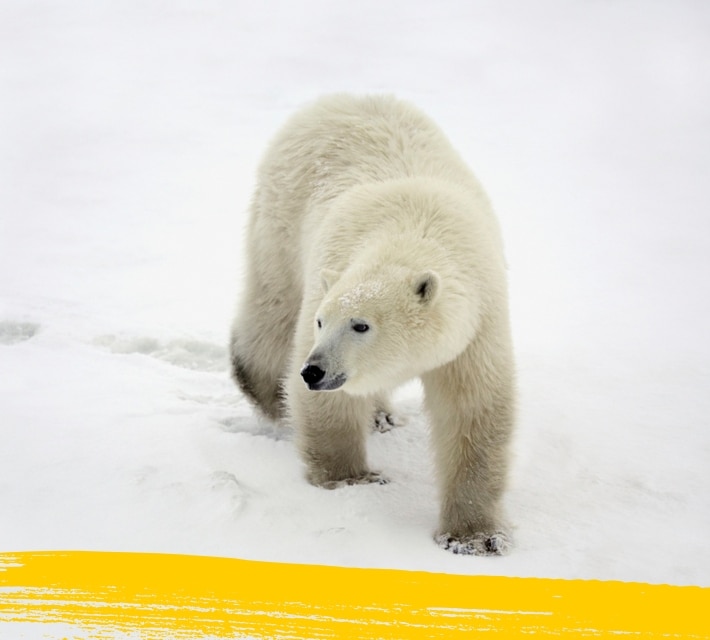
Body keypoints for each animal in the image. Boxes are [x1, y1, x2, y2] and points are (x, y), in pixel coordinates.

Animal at [234, 95, 516, 556]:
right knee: (272, 309)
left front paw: (474, 538)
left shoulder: (477, 324)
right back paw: (268, 392)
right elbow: (329, 406)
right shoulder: (329, 274)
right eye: (321, 321)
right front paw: (353, 479)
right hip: (280, 220)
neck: (411, 232)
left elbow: (473, 412)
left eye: (361, 325)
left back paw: (379, 415)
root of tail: (338, 98)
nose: (314, 371)